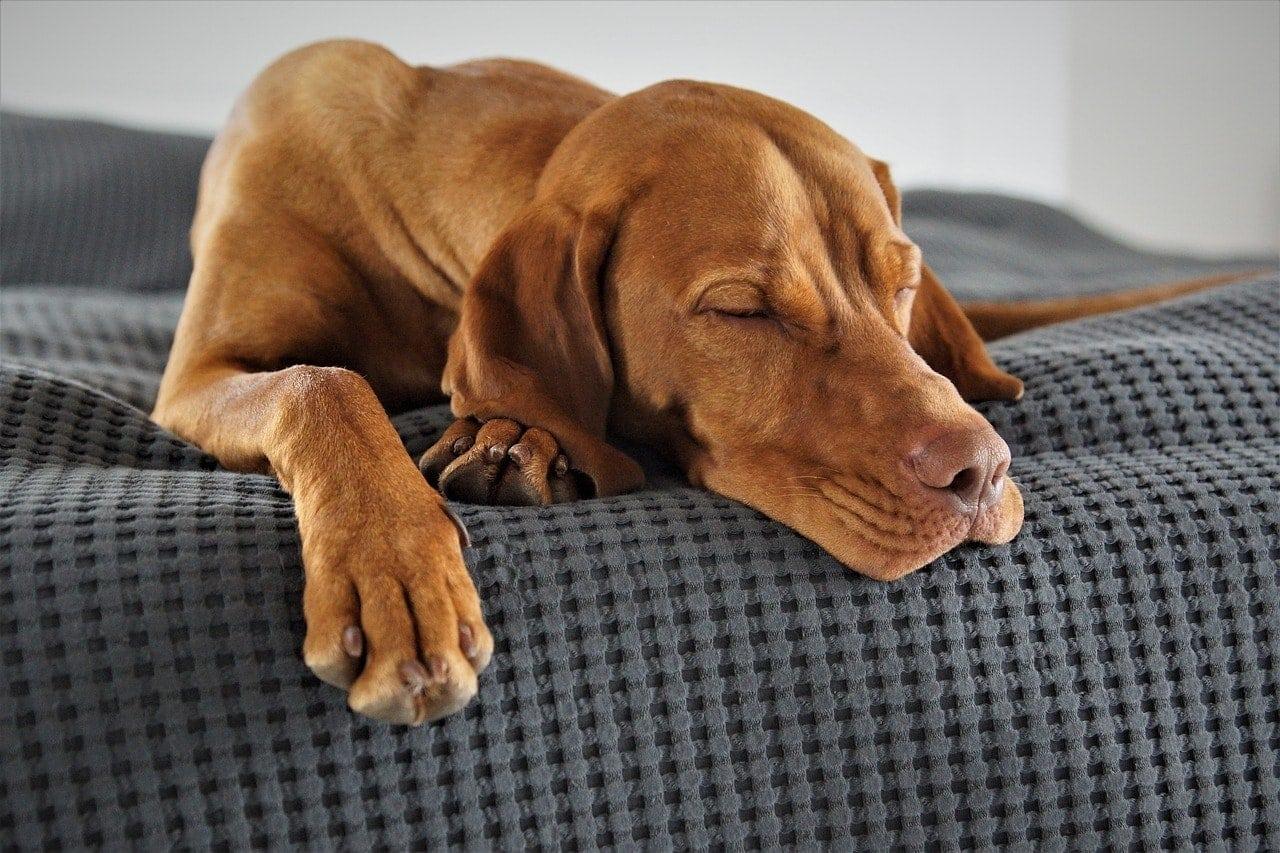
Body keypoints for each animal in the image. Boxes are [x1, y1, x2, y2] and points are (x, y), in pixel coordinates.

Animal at [149, 38, 1249, 717]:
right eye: (741, 310)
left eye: (898, 280)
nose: (980, 473)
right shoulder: (198, 374)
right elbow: (322, 380)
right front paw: (395, 575)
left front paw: (512, 437)